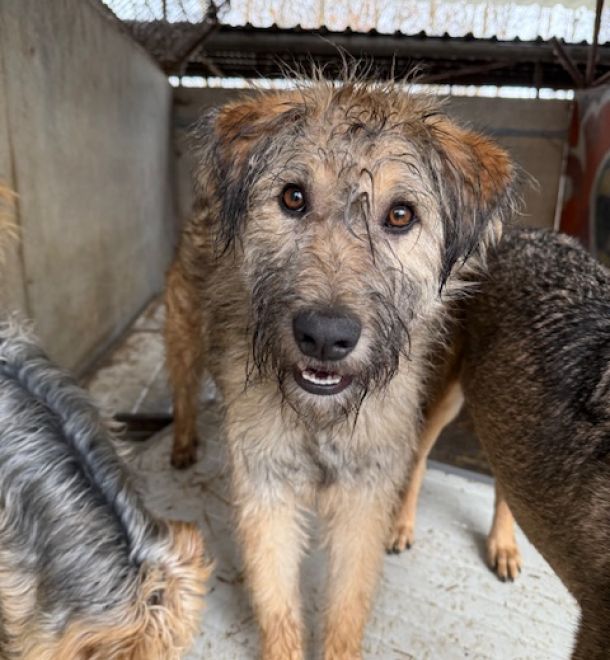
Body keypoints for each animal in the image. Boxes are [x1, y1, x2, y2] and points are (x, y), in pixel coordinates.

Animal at [165, 76, 518, 659]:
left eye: (401, 215)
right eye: (293, 197)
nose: (325, 336)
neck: (320, 418)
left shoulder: (364, 496)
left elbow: (347, 606)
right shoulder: (266, 488)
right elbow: (278, 604)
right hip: (183, 331)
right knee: (183, 386)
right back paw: (182, 442)